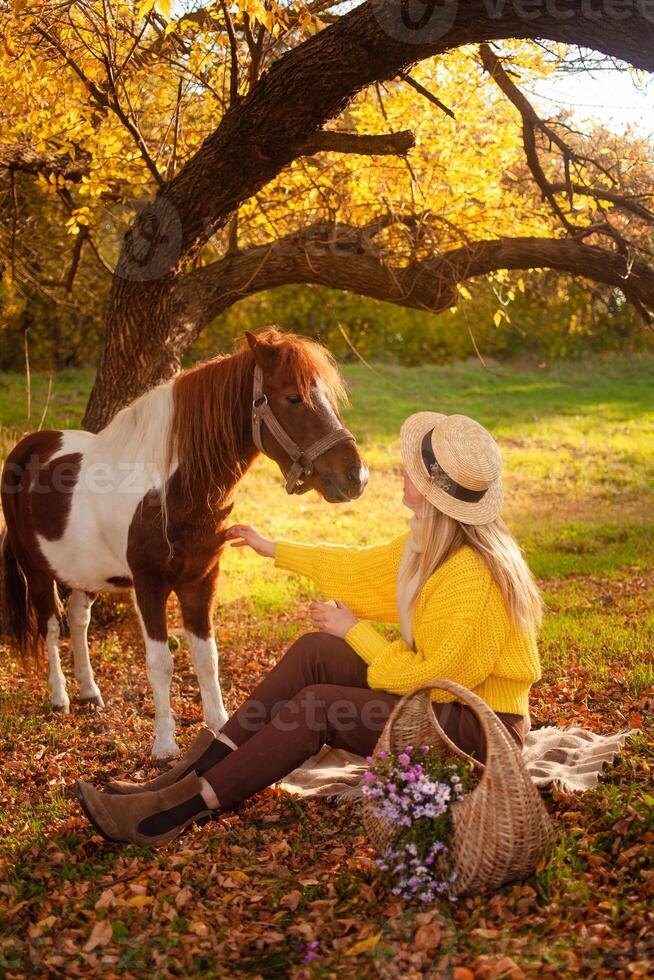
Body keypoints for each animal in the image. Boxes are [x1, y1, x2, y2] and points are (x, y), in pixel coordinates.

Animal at [0, 328, 368, 756]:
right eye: (294, 397)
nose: (356, 477)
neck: (173, 489)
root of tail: (29, 446)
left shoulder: (201, 580)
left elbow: (207, 658)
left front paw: (220, 726)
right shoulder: (149, 585)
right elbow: (161, 663)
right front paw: (164, 746)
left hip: (86, 574)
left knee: (78, 620)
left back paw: (90, 693)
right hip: (36, 569)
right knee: (50, 624)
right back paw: (60, 697)